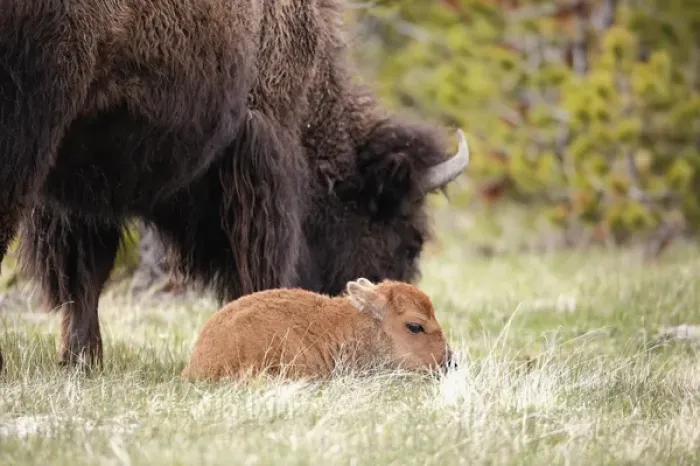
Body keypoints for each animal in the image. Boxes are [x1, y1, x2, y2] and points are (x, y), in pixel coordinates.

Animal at [0, 0, 468, 368]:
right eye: (408, 241)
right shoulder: (262, 156)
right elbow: (263, 267)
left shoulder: (82, 175)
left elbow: (85, 276)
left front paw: (81, 360)